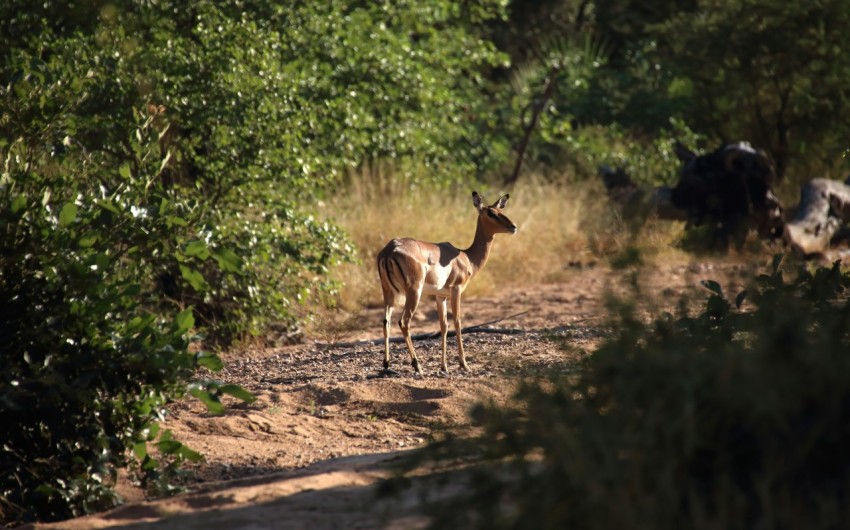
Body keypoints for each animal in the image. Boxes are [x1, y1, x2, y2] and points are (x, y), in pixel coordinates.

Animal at [378, 192, 516, 374]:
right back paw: (417, 365)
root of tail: (389, 250)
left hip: (388, 293)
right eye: (491, 213)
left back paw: (386, 364)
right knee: (404, 322)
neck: (466, 258)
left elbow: (443, 326)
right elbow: (457, 322)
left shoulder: (440, 296)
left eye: (501, 210)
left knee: (386, 322)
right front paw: (464, 364)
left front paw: (444, 366)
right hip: (413, 292)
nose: (513, 226)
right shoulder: (455, 290)